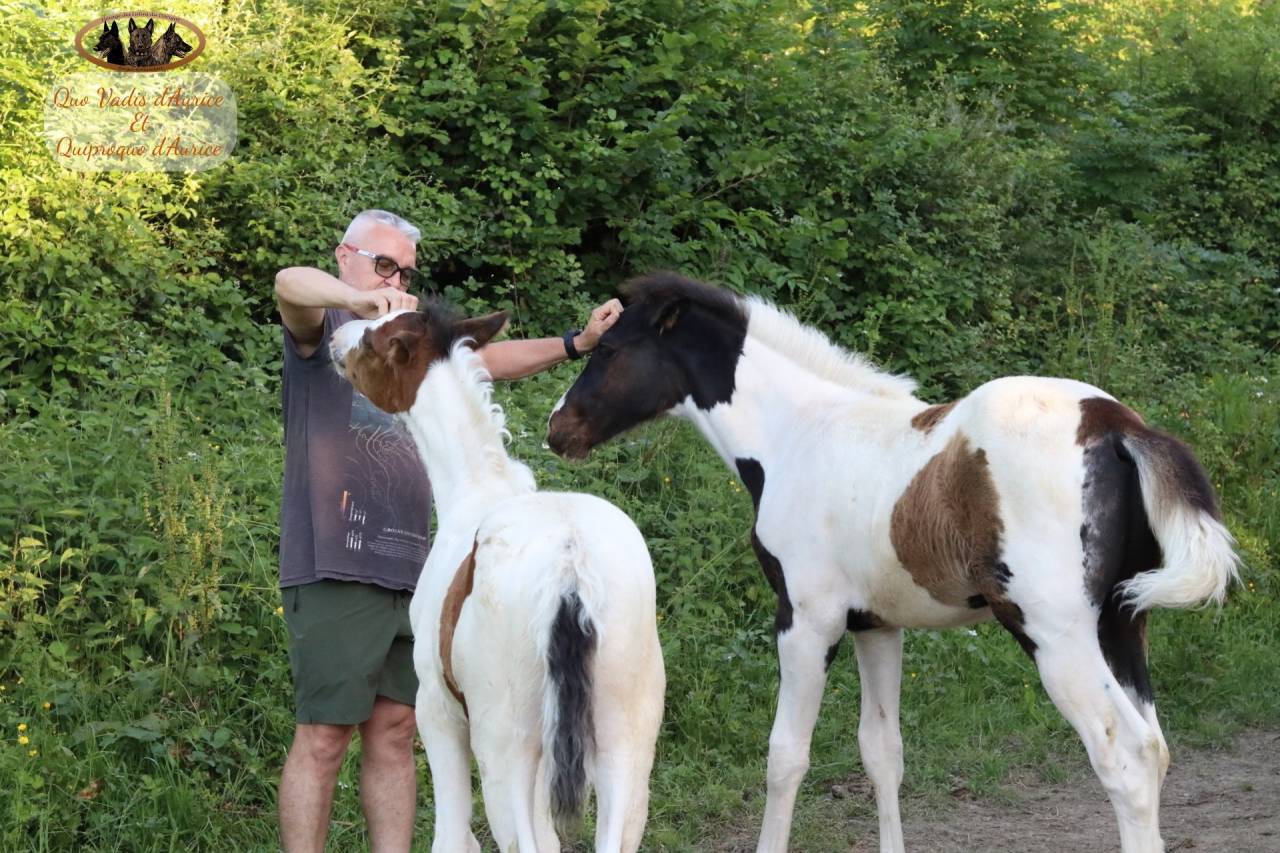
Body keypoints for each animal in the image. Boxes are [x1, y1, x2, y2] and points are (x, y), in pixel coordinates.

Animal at [330, 302, 666, 852]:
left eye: (375, 340)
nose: (336, 339)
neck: (477, 489)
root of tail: (570, 570)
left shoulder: (437, 708)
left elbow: (452, 832)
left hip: (504, 744)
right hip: (626, 741)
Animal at [547, 272, 1240, 853]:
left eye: (611, 352)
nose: (558, 430)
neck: (798, 435)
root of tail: (1117, 427)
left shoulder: (806, 623)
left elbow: (785, 755)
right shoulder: (877, 625)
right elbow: (883, 751)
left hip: (1056, 633)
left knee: (1125, 756)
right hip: (1121, 623)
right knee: (1155, 748)